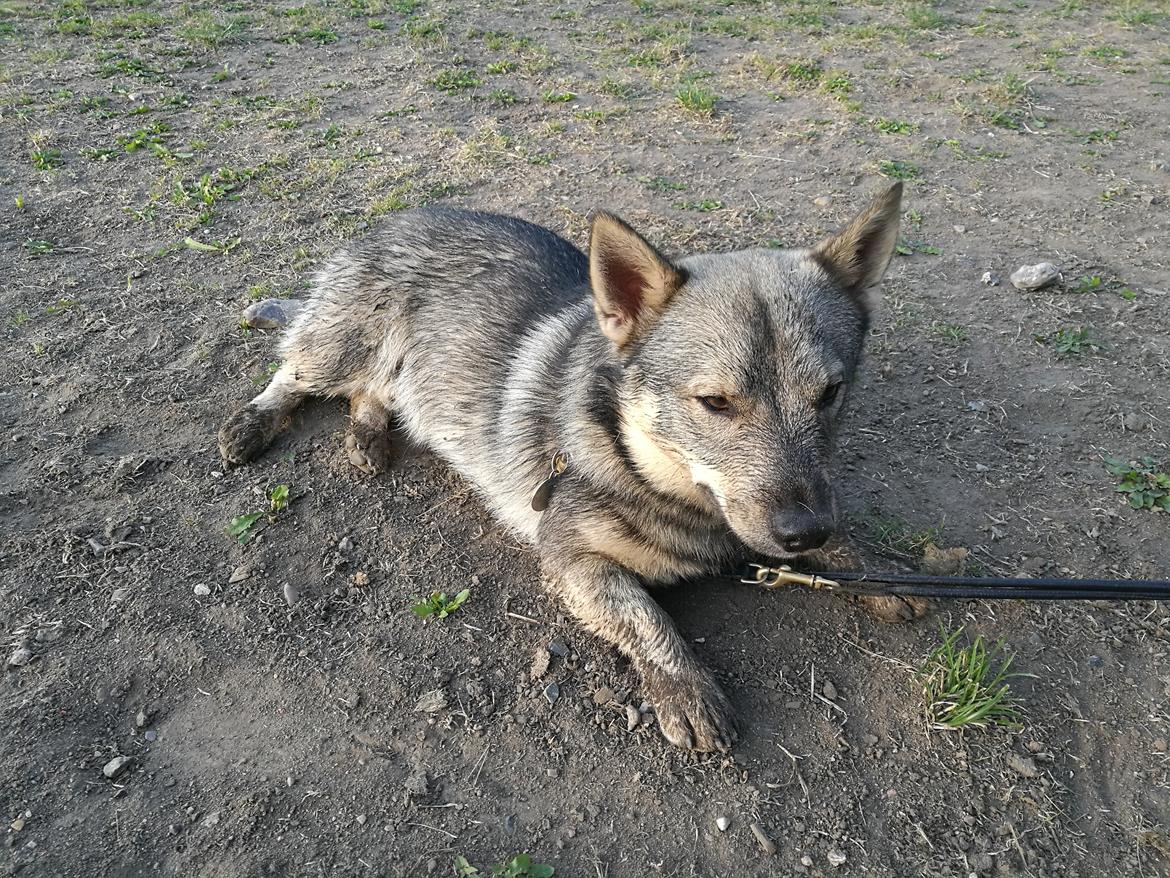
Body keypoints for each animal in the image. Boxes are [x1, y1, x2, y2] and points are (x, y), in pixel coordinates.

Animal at [221, 182, 912, 753]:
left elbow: (844, 541)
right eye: (716, 403)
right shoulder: (571, 558)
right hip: (341, 347)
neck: (655, 475)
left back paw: (366, 436)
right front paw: (685, 687)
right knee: (294, 370)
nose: (803, 533)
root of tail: (395, 218)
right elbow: (648, 619)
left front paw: (878, 569)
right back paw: (253, 422)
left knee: (370, 393)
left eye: (831, 394)